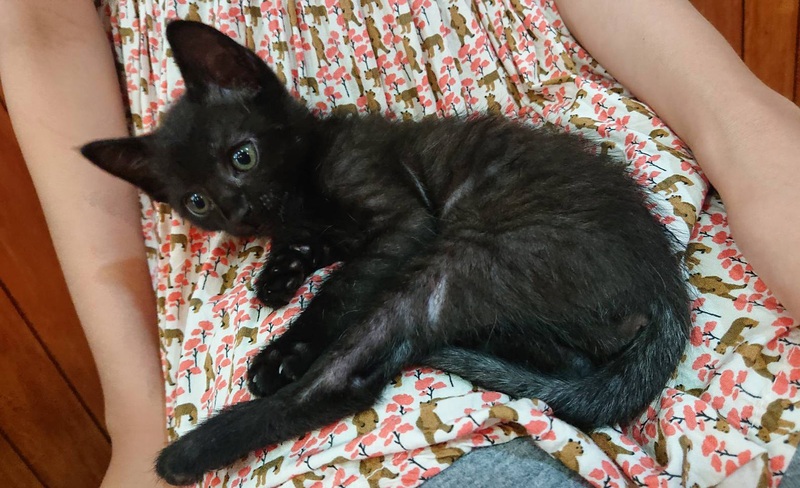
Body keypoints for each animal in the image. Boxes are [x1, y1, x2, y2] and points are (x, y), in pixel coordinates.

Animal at [81, 21, 690, 485]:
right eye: (197, 202)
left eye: (243, 156)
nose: (239, 212)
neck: (301, 197)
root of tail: (667, 287)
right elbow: (311, 254)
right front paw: (277, 275)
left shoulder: (403, 221)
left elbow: (340, 287)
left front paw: (285, 352)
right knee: (570, 359)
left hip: (467, 254)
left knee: (348, 379)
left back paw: (190, 452)